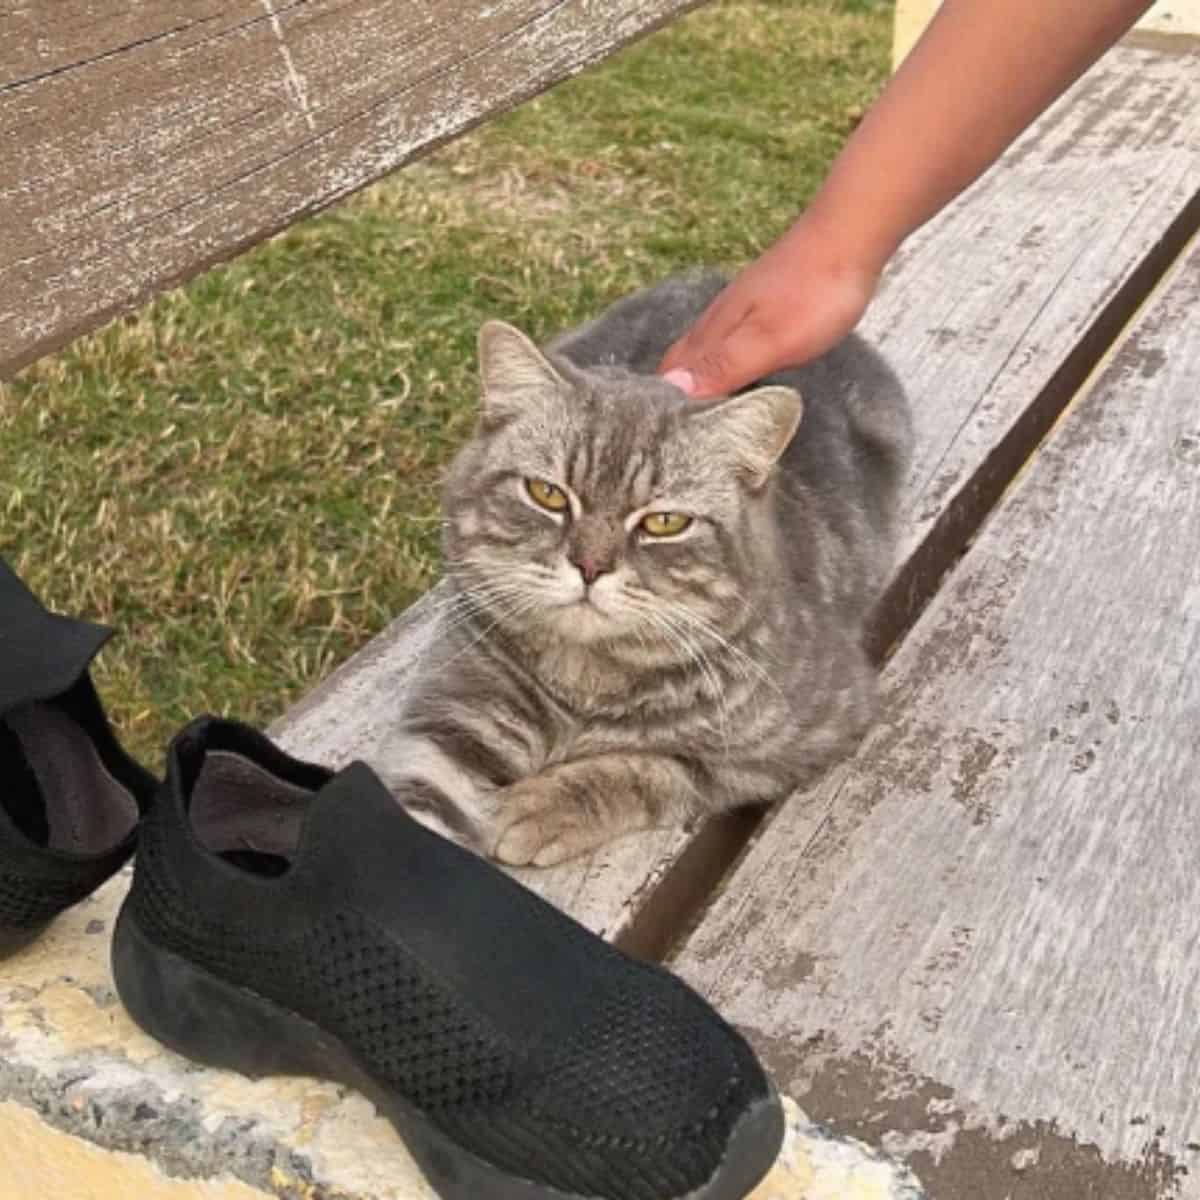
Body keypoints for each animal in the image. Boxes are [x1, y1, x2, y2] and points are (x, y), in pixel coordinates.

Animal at [374, 274, 907, 864]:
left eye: (665, 522)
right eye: (546, 494)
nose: (590, 565)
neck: (586, 682)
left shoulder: (819, 727)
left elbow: (661, 769)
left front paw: (547, 805)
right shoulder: (455, 717)